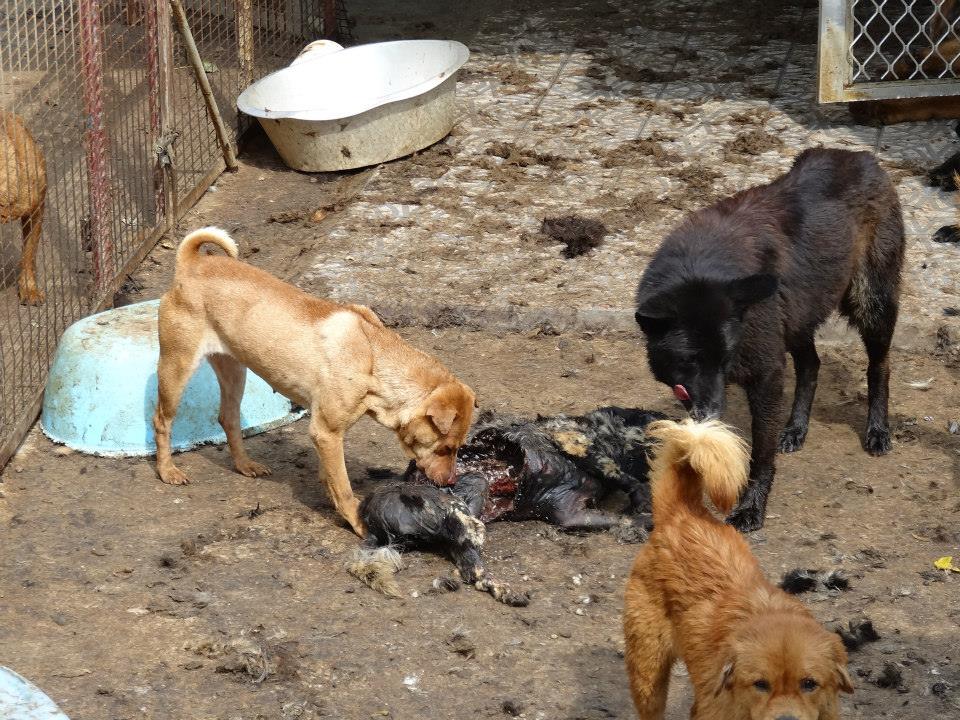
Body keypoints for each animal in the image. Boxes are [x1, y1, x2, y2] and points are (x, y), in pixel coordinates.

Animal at [152, 227, 476, 536]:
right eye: (445, 448)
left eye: (458, 447)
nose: (452, 481)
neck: (373, 356)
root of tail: (191, 263)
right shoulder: (326, 432)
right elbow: (343, 486)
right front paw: (357, 522)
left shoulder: (328, 436)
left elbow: (331, 477)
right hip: (176, 366)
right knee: (161, 420)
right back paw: (167, 471)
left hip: (234, 370)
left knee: (228, 418)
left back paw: (245, 465)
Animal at [635, 148, 904, 531]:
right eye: (689, 360)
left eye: (725, 358)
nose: (713, 412)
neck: (699, 266)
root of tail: (860, 156)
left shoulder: (766, 375)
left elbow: (761, 453)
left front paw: (751, 508)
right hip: (798, 320)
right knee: (811, 365)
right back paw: (795, 429)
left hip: (871, 304)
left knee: (879, 366)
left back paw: (878, 429)